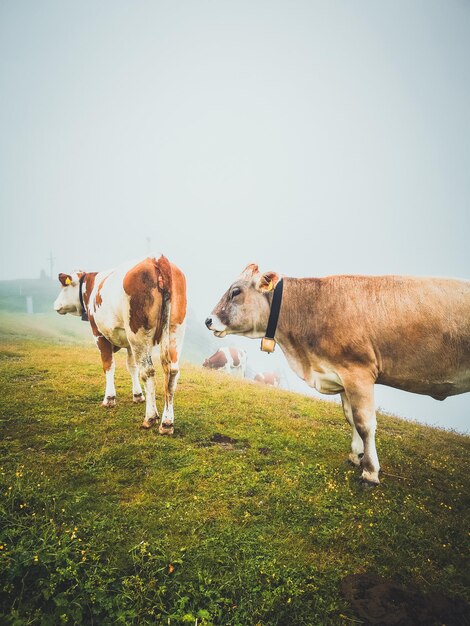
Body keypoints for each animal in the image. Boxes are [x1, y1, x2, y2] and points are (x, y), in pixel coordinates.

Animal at [54, 255, 186, 434]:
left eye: (64, 286)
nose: (56, 304)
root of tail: (157, 258)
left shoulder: (98, 334)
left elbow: (108, 365)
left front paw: (109, 398)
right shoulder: (129, 343)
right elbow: (132, 367)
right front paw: (138, 395)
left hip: (138, 333)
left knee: (148, 372)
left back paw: (150, 417)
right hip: (174, 330)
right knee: (172, 372)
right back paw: (166, 422)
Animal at [207, 262, 470, 482]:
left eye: (236, 292)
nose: (209, 320)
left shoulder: (359, 372)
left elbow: (364, 423)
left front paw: (370, 471)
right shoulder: (341, 374)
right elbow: (350, 417)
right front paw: (356, 456)